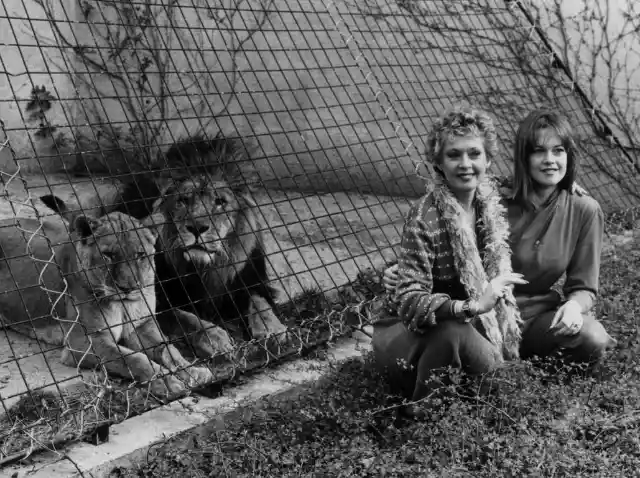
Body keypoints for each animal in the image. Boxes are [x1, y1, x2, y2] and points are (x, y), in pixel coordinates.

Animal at [0, 198, 215, 396]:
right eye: (108, 255)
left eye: (139, 255)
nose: (127, 288)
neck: (123, 305)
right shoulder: (83, 343)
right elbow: (135, 359)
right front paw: (167, 382)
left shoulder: (142, 325)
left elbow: (169, 349)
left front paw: (194, 371)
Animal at [40, 134, 288, 358]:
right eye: (183, 200)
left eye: (220, 202)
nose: (197, 228)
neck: (201, 269)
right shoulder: (156, 298)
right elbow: (185, 317)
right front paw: (214, 337)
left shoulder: (248, 279)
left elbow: (259, 301)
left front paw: (272, 328)